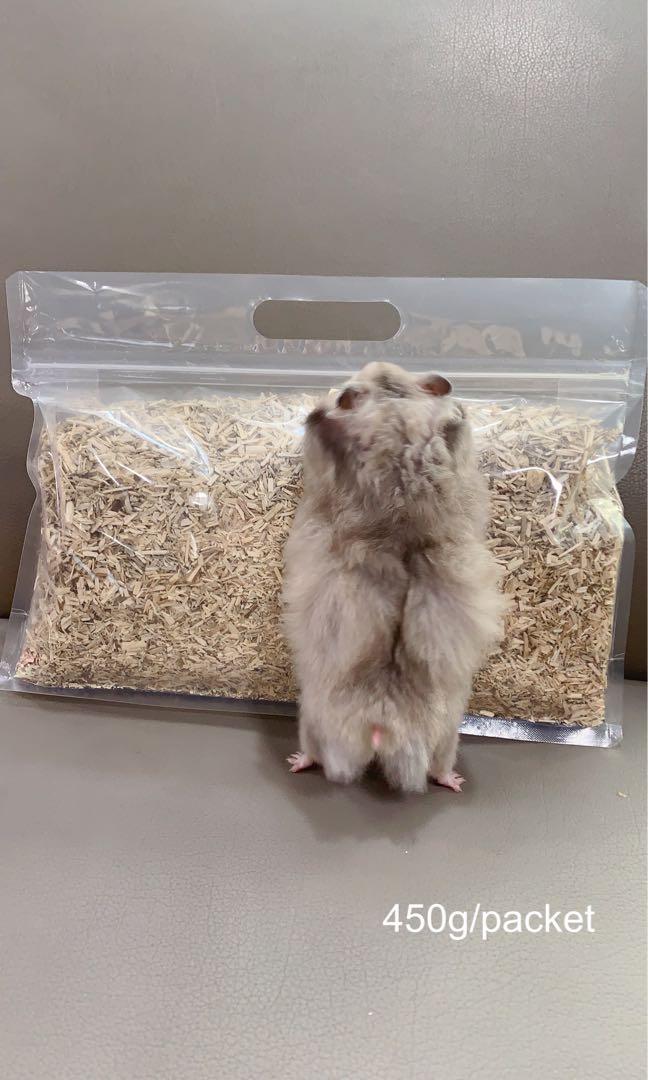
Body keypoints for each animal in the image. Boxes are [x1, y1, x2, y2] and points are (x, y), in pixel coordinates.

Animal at [282, 361, 505, 794]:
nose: (378, 364)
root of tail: (383, 724)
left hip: (311, 720)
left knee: (317, 755)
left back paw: (295, 761)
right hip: (446, 733)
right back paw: (456, 783)